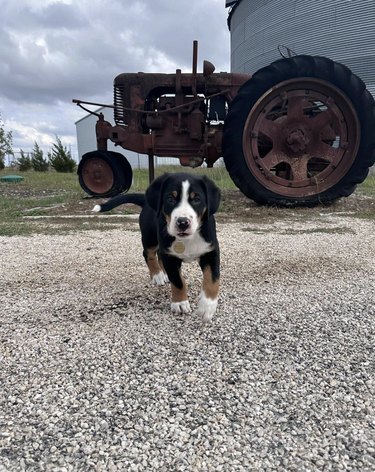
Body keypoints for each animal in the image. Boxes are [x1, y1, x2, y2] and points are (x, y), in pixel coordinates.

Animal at [93, 173, 222, 324]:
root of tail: (146, 200)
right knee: (148, 254)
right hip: (150, 237)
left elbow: (212, 280)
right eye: (170, 199)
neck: (187, 239)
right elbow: (178, 281)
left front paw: (207, 306)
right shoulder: (170, 256)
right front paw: (180, 303)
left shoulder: (211, 251)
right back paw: (158, 275)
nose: (183, 222)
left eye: (196, 199)